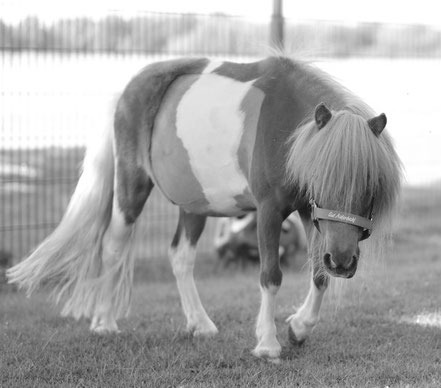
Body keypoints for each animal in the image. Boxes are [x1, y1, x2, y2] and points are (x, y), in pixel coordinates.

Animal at [6, 56, 400, 360]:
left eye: (371, 185)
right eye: (323, 179)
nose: (344, 262)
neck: (287, 127)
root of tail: (128, 89)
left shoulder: (309, 211)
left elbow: (318, 274)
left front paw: (299, 329)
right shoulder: (269, 210)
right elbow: (270, 275)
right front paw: (267, 343)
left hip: (193, 205)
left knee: (180, 256)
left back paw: (200, 323)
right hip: (130, 190)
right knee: (114, 248)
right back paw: (104, 321)